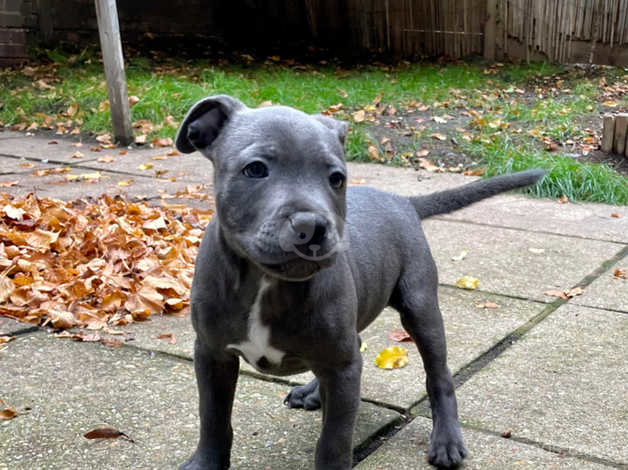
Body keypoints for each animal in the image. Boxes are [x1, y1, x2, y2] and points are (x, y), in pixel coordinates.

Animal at [173, 93, 544, 468]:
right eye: (255, 169)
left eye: (337, 178)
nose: (312, 227)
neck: (265, 283)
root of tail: (401, 200)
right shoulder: (211, 354)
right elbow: (213, 417)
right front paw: (205, 463)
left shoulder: (342, 370)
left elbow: (334, 440)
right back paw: (314, 391)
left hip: (420, 306)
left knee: (438, 375)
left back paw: (446, 439)